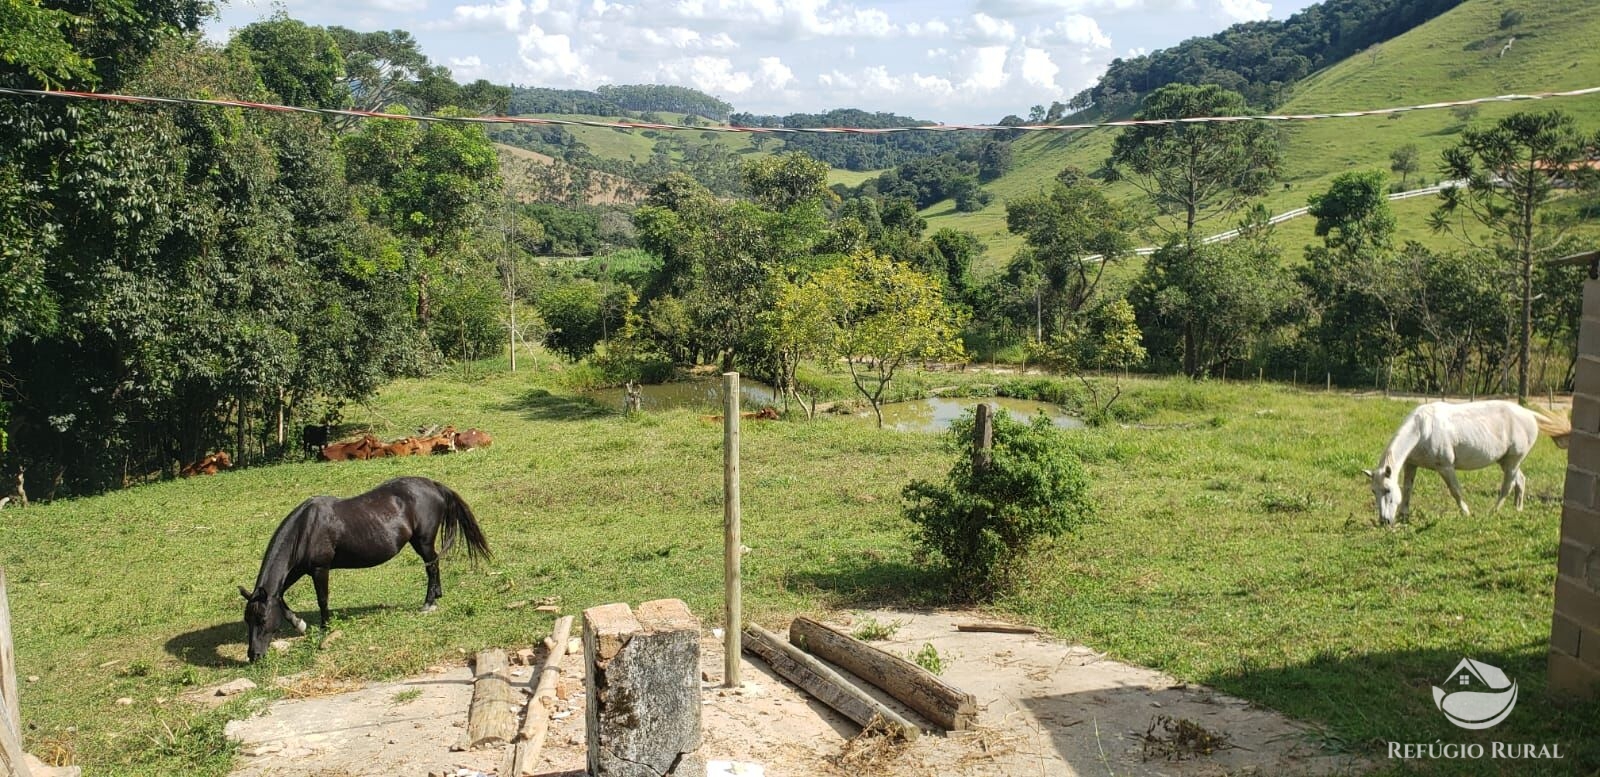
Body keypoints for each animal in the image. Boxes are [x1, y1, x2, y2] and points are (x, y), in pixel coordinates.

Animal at [238, 473, 492, 661]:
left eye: (262, 620)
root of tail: (433, 485)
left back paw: (429, 603)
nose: (253, 656)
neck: (306, 528)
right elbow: (279, 596)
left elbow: (322, 599)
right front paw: (299, 624)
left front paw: (325, 627)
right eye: (247, 620)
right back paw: (437, 595)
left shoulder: (320, 569)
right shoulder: (298, 570)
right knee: (435, 564)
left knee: (431, 565)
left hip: (423, 541)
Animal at [1363, 401, 1574, 527]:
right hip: (1506, 461)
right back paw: (1517, 509)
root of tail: (1528, 413)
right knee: (1520, 481)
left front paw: (1466, 513)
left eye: (1387, 490)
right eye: (1374, 491)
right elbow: (1407, 489)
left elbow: (1455, 491)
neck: (1422, 429)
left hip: (1513, 460)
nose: (1384, 521)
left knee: (1507, 486)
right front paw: (1404, 515)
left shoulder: (1446, 467)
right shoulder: (1411, 465)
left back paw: (1493, 512)